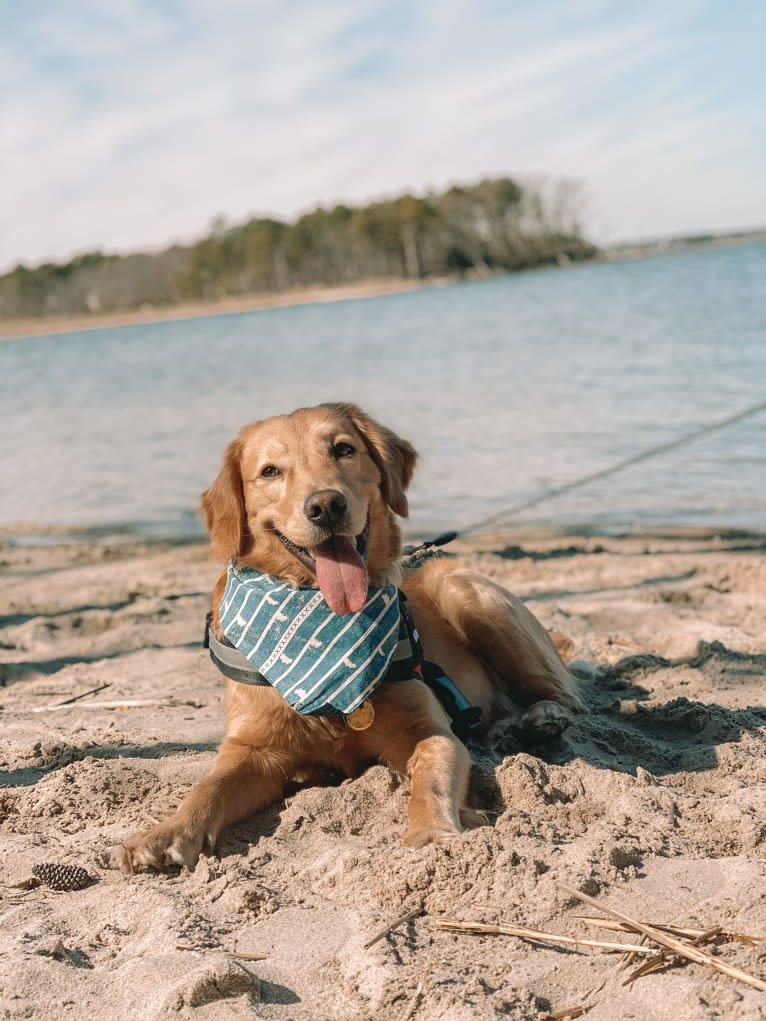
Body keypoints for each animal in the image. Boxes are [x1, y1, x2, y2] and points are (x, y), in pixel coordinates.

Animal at [115, 402, 580, 873]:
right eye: (270, 471)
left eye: (343, 449)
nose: (325, 505)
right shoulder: (254, 749)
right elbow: (208, 786)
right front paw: (166, 832)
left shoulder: (430, 728)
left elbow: (430, 772)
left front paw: (431, 834)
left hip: (465, 591)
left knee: (564, 694)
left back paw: (541, 718)